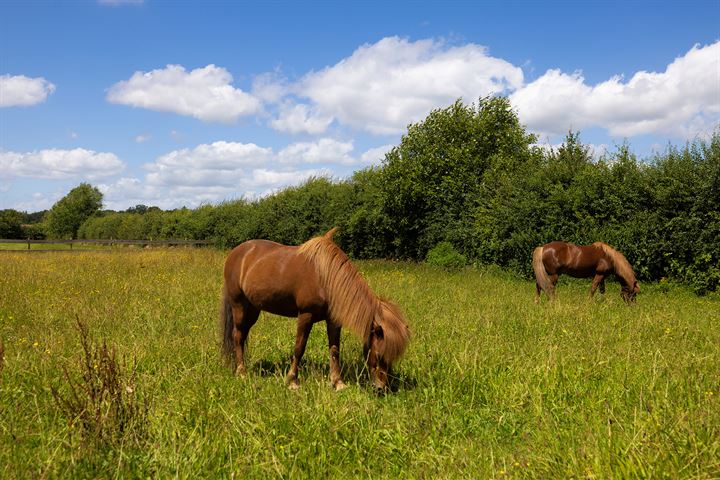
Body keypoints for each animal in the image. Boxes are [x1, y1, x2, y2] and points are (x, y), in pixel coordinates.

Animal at [218, 228, 410, 390]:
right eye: (379, 355)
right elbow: (299, 348)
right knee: (237, 335)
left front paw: (338, 383)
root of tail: (237, 252)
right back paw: (241, 372)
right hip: (239, 305)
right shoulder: (306, 315)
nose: (381, 388)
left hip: (253, 309)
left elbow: (334, 349)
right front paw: (292, 381)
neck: (326, 278)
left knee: (242, 336)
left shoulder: (333, 321)